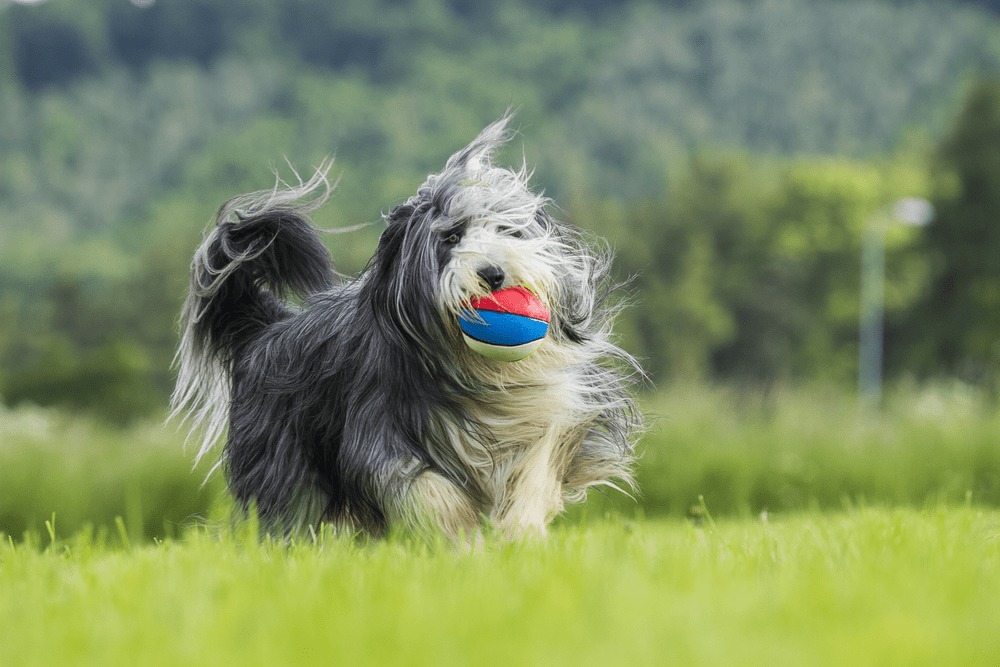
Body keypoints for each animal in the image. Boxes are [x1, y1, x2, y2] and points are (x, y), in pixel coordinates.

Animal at [171, 116, 640, 544]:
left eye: (508, 230)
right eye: (451, 237)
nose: (493, 274)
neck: (479, 372)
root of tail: (268, 327)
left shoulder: (553, 405)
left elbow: (539, 464)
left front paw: (519, 528)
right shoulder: (377, 428)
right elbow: (422, 486)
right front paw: (459, 536)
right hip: (284, 458)